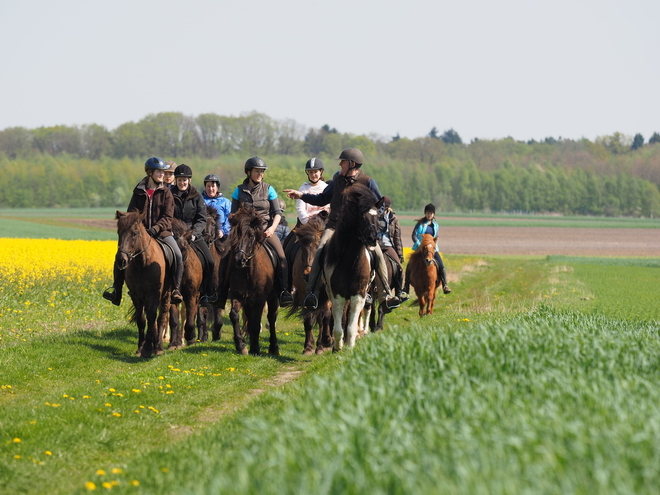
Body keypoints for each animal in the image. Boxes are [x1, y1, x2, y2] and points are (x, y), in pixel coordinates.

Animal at [116, 211, 173, 358]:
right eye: (119, 232)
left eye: (134, 234)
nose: (121, 260)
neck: (142, 263)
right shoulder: (136, 294)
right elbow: (142, 319)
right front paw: (141, 348)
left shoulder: (154, 293)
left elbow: (153, 317)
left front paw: (149, 348)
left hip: (167, 294)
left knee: (161, 317)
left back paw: (158, 346)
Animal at [228, 206, 280, 356]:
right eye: (234, 235)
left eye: (251, 235)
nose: (239, 260)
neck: (248, 272)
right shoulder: (238, 295)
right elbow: (234, 315)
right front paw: (241, 346)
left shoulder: (260, 298)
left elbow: (256, 323)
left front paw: (255, 349)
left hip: (273, 297)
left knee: (271, 318)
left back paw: (274, 347)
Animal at [286, 211, 332, 354]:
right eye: (303, 248)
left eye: (320, 247)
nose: (308, 274)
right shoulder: (304, 295)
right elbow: (308, 321)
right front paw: (309, 347)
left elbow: (326, 316)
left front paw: (326, 341)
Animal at [320, 184, 382, 350]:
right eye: (362, 217)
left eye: (378, 217)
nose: (373, 239)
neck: (350, 262)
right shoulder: (337, 295)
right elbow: (338, 326)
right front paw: (337, 346)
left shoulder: (358, 295)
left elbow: (351, 325)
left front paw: (350, 346)